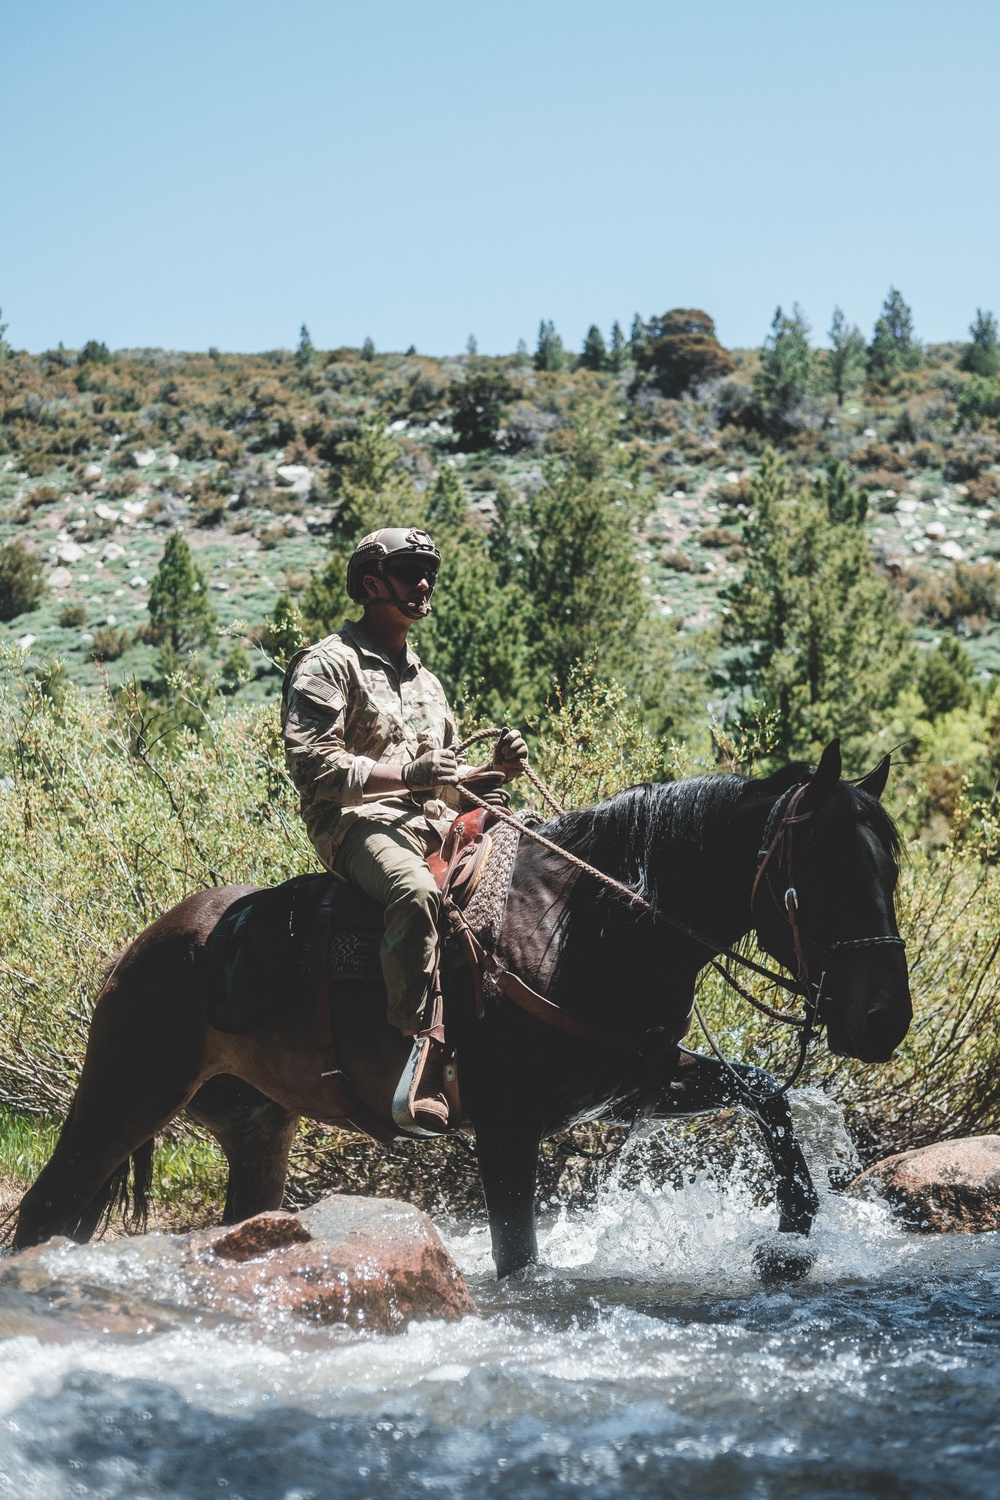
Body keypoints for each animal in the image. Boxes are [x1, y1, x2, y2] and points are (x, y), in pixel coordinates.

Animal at [15, 738, 911, 1278]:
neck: (583, 922)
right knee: (45, 1210)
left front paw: (789, 1240)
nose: (886, 1020)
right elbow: (519, 1258)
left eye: (891, 869)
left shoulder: (634, 1084)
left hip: (255, 1128)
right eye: (823, 871)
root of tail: (139, 947)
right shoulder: (508, 1130)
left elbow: (766, 1095)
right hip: (122, 1098)